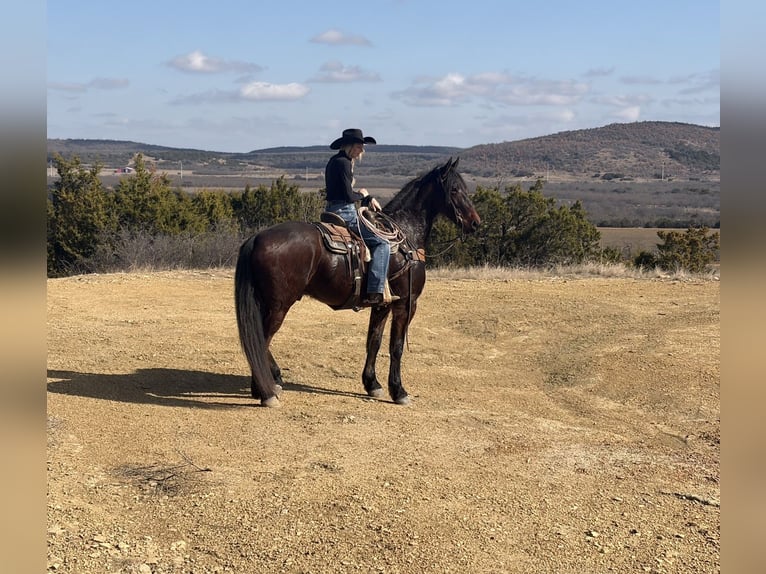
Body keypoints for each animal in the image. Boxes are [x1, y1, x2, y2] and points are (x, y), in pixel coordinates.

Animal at [234, 157, 481, 407]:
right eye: (454, 189)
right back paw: (267, 392)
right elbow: (396, 347)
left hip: (267, 303)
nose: (475, 223)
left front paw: (373, 384)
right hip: (279, 305)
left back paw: (269, 382)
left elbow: (374, 341)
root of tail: (257, 238)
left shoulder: (383, 304)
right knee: (261, 340)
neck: (406, 236)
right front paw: (399, 391)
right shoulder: (406, 303)